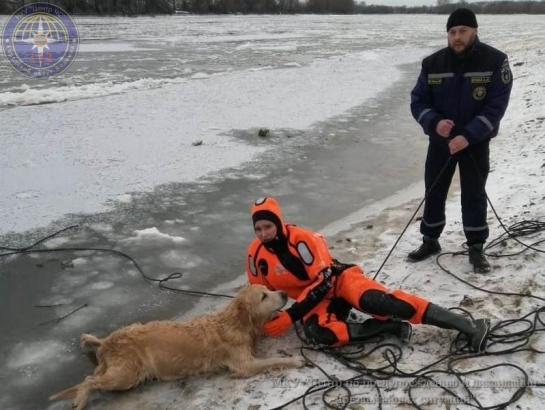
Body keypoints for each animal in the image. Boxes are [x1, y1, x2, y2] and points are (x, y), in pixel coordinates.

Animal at [50, 286, 306, 410]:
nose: (284, 293)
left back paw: (90, 339)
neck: (236, 322)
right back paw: (80, 400)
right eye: (264, 296)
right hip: (127, 375)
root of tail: (108, 344)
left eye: (269, 290)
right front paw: (295, 360)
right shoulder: (244, 364)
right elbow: (274, 360)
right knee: (88, 380)